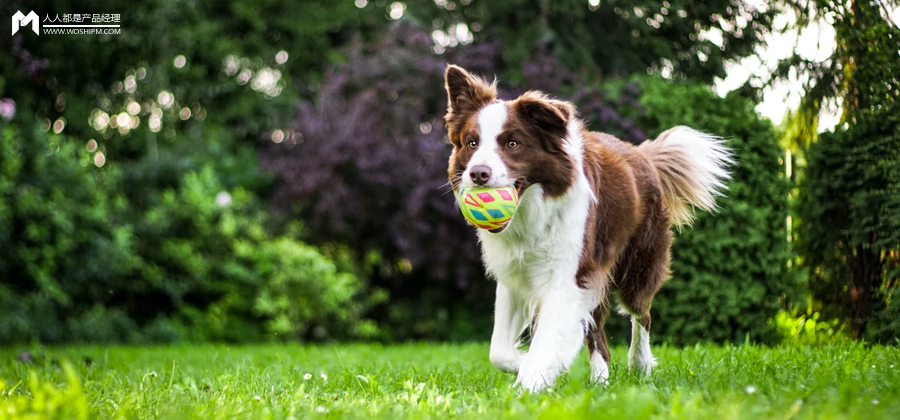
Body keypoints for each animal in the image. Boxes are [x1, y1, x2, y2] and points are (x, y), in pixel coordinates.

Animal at [442, 64, 732, 392]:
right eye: (472, 143)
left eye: (512, 144)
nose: (478, 173)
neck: (532, 211)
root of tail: (642, 154)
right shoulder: (515, 274)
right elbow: (498, 351)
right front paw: (527, 364)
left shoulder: (569, 275)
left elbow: (547, 339)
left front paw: (531, 381)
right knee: (599, 336)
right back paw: (600, 382)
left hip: (637, 265)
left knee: (641, 314)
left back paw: (640, 364)